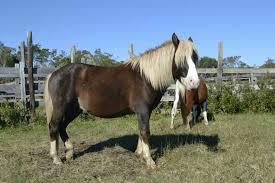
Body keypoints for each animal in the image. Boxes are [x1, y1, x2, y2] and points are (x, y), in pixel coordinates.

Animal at [45, 33, 201, 169]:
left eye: (195, 58)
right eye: (181, 59)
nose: (195, 83)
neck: (146, 78)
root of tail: (54, 73)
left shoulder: (144, 112)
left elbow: (141, 131)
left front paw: (139, 154)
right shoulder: (143, 111)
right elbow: (145, 132)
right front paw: (149, 160)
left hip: (74, 109)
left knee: (62, 126)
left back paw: (69, 153)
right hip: (61, 107)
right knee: (54, 126)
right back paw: (56, 158)